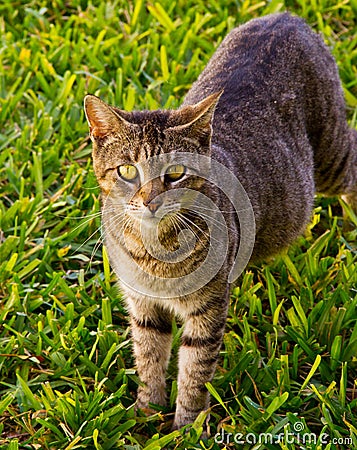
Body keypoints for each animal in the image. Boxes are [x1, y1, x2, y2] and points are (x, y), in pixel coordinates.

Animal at [84, 12, 356, 430]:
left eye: (175, 173)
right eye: (127, 170)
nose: (149, 201)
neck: (154, 252)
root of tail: (285, 16)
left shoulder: (207, 309)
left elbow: (195, 371)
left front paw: (186, 427)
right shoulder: (143, 305)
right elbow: (148, 359)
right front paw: (147, 413)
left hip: (331, 155)